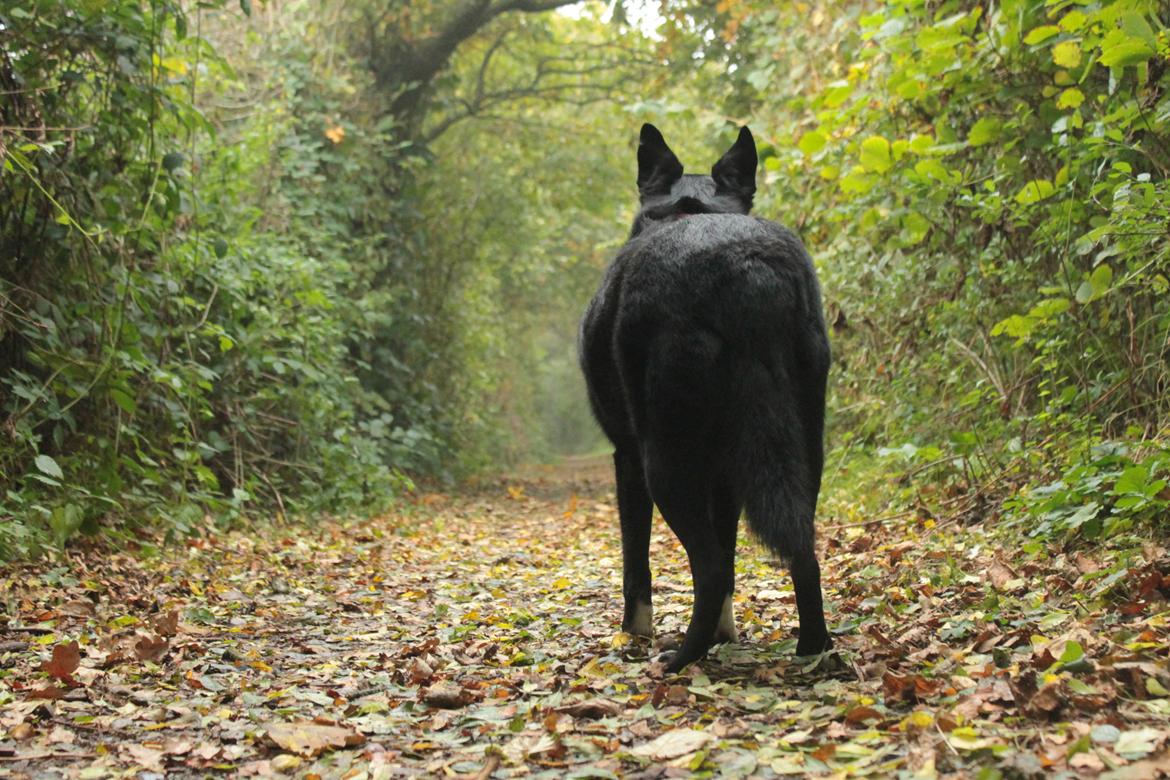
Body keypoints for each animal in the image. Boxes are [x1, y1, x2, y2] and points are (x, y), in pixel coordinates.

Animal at [575, 123, 833, 673]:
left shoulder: (627, 460)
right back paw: (813, 648)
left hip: (666, 460)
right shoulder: (727, 475)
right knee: (801, 548)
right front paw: (725, 634)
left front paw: (634, 635)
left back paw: (679, 659)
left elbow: (637, 566)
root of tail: (745, 269)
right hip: (805, 448)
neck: (692, 210)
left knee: (709, 567)